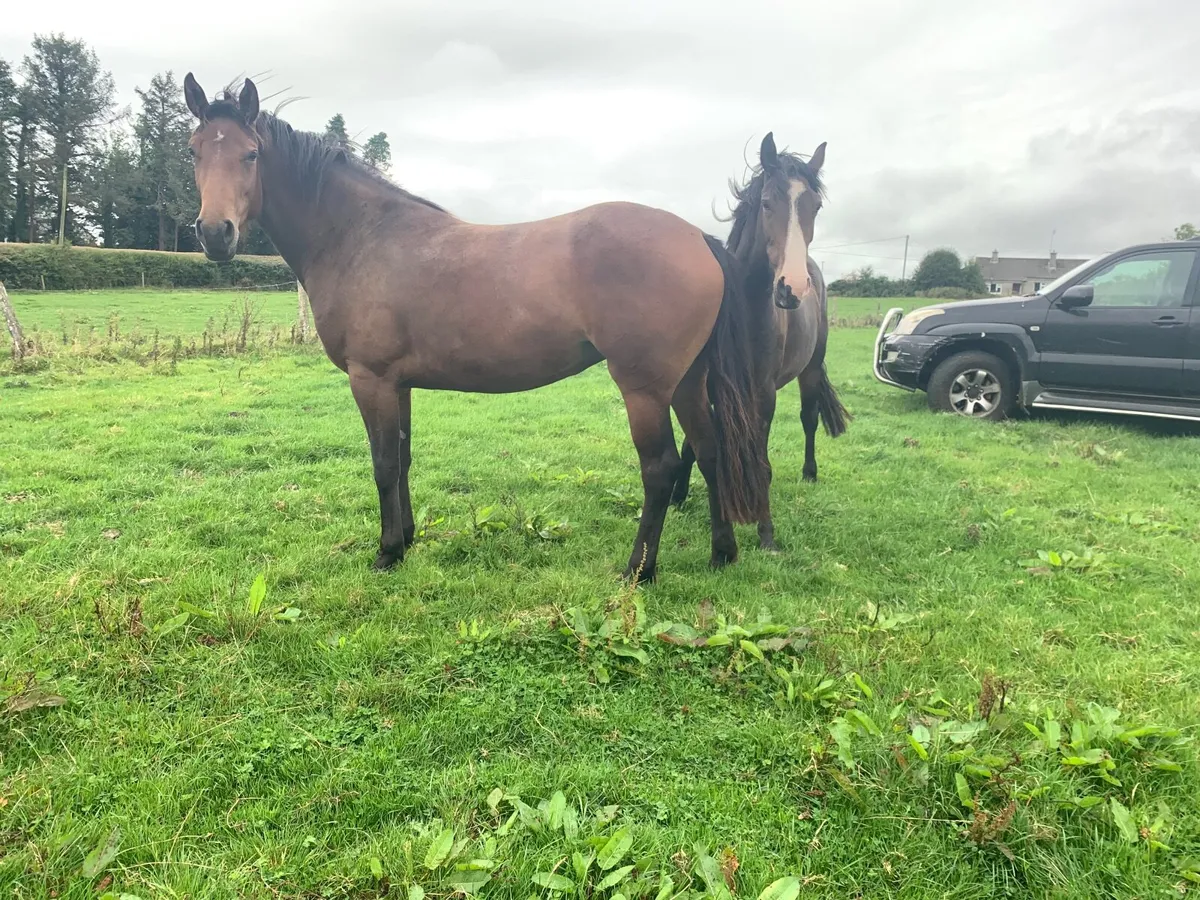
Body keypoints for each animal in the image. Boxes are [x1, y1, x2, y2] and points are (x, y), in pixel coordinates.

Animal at [182, 74, 772, 583]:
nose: (214, 233)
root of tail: (697, 238)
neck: (361, 236)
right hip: (688, 382)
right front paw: (408, 539)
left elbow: (382, 464)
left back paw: (639, 570)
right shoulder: (398, 384)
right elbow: (403, 458)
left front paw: (387, 552)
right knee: (711, 451)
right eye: (194, 150)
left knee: (661, 468)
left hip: (644, 388)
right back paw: (722, 553)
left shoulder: (370, 379)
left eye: (251, 153)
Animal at [671, 134, 849, 551]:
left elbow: (762, 463)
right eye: (767, 202)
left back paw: (809, 472)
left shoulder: (762, 395)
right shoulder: (709, 385)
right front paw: (679, 495)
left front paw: (766, 533)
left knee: (808, 418)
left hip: (810, 370)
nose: (792, 288)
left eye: (815, 207)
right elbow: (693, 444)